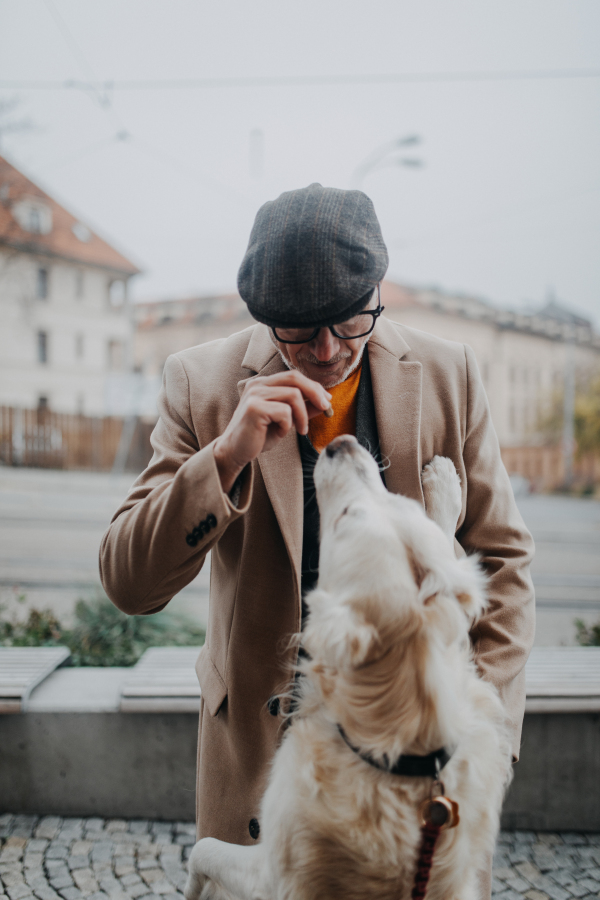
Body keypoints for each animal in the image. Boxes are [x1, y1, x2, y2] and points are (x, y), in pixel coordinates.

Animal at [186, 440, 510, 900]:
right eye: (402, 502)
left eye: (341, 521)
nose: (342, 444)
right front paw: (445, 486)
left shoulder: (269, 870)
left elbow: (204, 848)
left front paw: (194, 887)